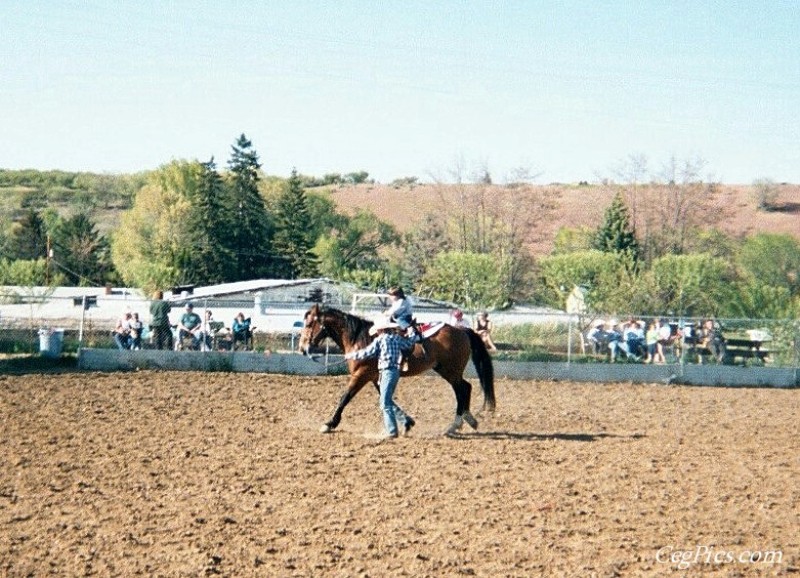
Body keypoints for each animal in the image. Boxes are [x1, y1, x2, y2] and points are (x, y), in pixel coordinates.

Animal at [300, 304, 494, 434]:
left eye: (309, 325)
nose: (302, 348)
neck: (361, 339)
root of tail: (462, 330)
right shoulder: (375, 376)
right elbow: (387, 398)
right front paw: (407, 422)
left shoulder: (361, 374)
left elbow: (345, 397)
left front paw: (329, 424)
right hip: (445, 369)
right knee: (465, 388)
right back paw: (467, 421)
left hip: (450, 370)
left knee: (463, 389)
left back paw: (456, 424)